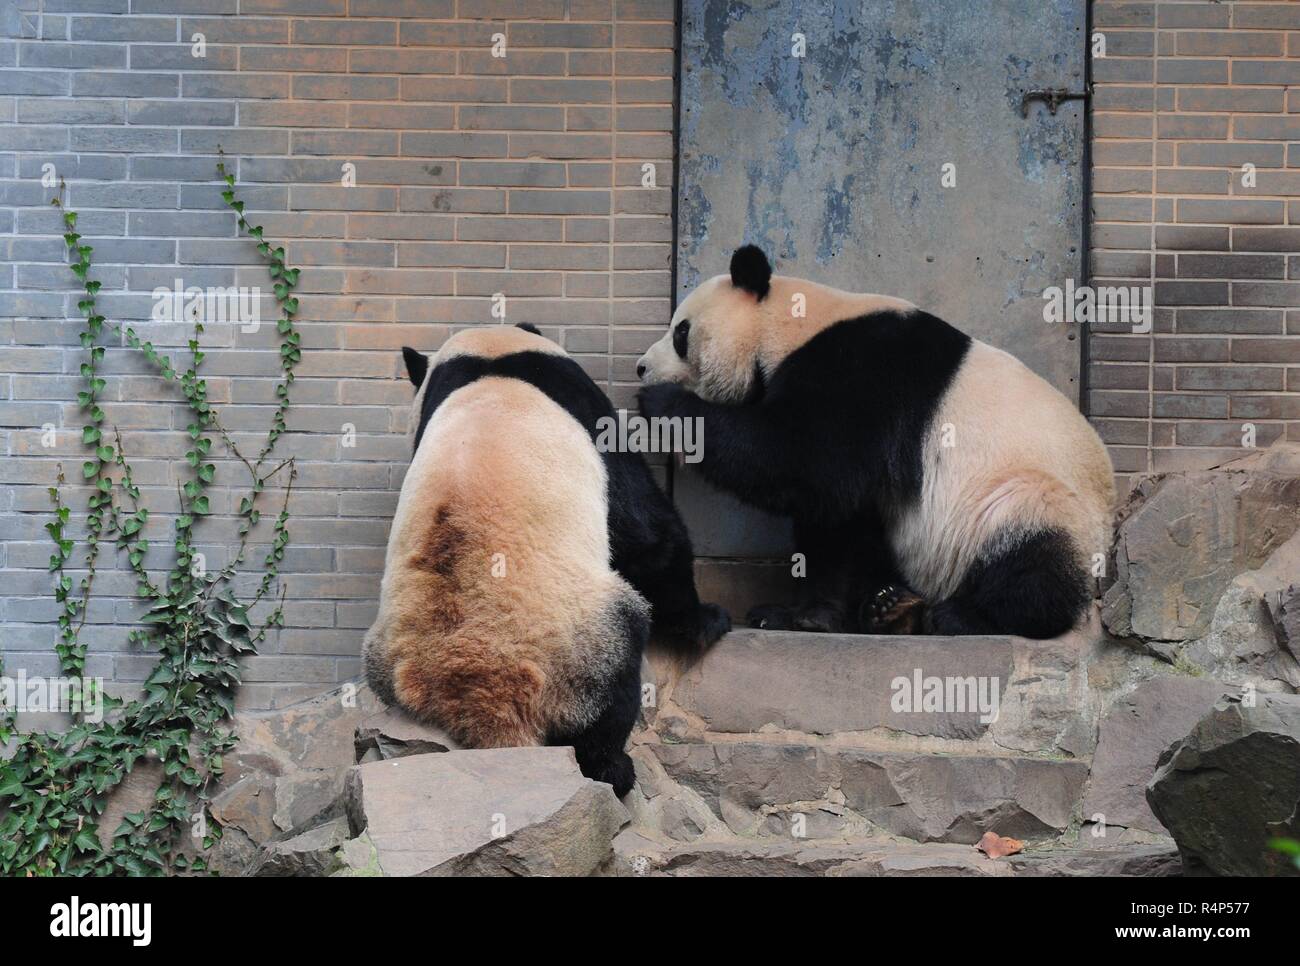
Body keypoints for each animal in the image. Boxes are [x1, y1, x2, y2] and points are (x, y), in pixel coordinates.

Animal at [363, 323, 729, 796]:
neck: (490, 358)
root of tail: (483, 701)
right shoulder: (585, 407)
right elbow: (649, 535)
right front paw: (706, 621)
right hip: (575, 647)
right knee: (612, 677)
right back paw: (613, 768)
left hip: (388, 657)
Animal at [636, 245, 1115, 640]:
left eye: (681, 333)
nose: (641, 367)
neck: (790, 325)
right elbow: (837, 518)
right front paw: (802, 615)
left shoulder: (863, 372)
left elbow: (805, 462)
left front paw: (661, 403)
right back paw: (887, 606)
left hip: (1031, 498)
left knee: (1031, 556)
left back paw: (964, 616)